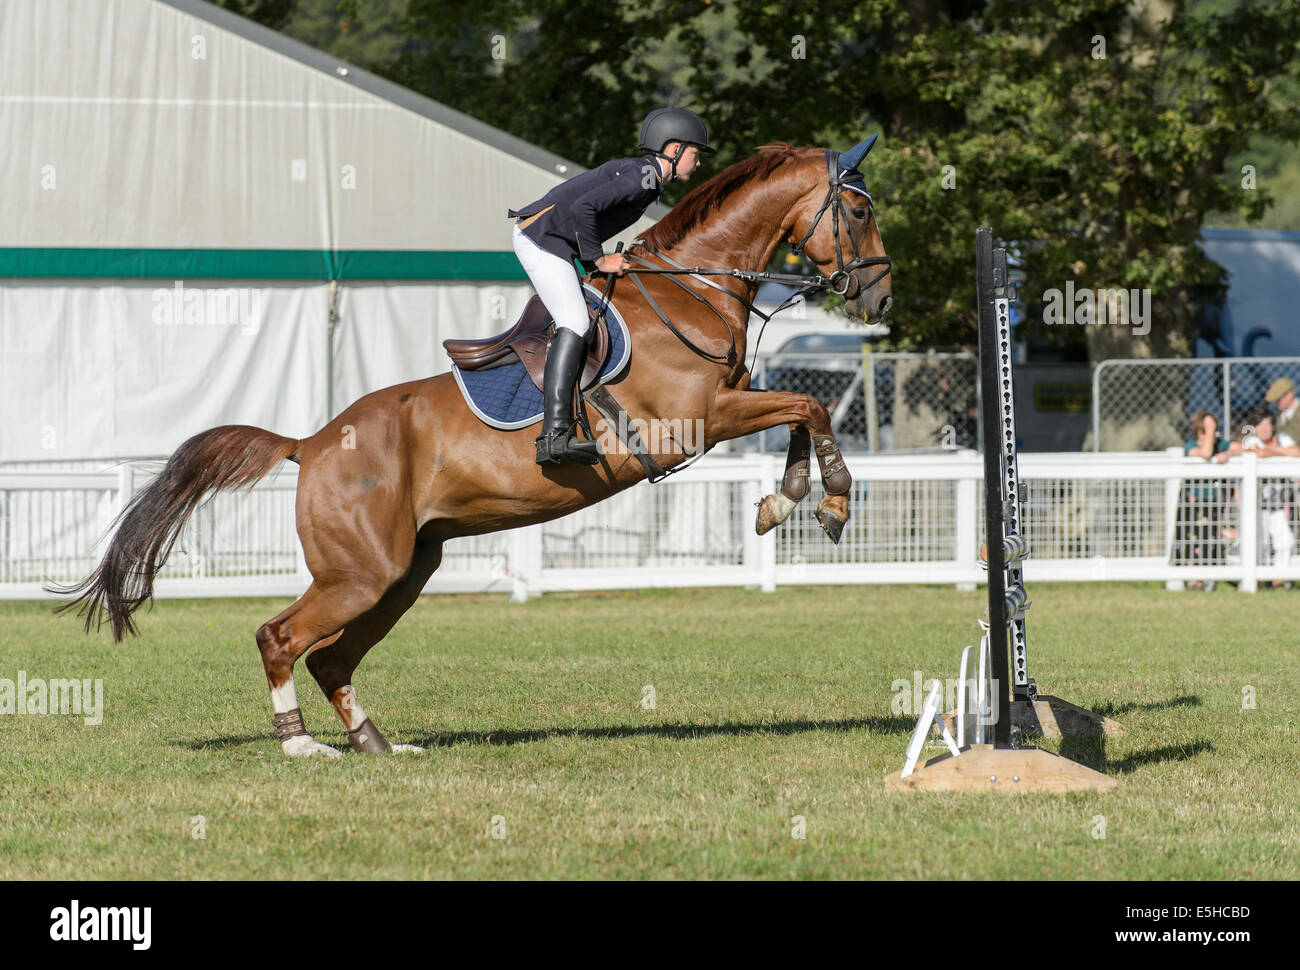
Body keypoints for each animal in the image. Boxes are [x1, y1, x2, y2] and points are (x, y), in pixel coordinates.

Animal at [50, 139, 889, 754]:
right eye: (856, 207)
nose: (879, 296)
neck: (690, 290)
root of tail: (312, 441)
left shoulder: (725, 411)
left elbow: (800, 414)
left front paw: (790, 502)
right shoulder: (698, 420)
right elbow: (811, 405)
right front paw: (827, 502)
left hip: (403, 572)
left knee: (331, 656)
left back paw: (378, 744)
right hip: (361, 572)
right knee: (281, 637)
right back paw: (300, 745)